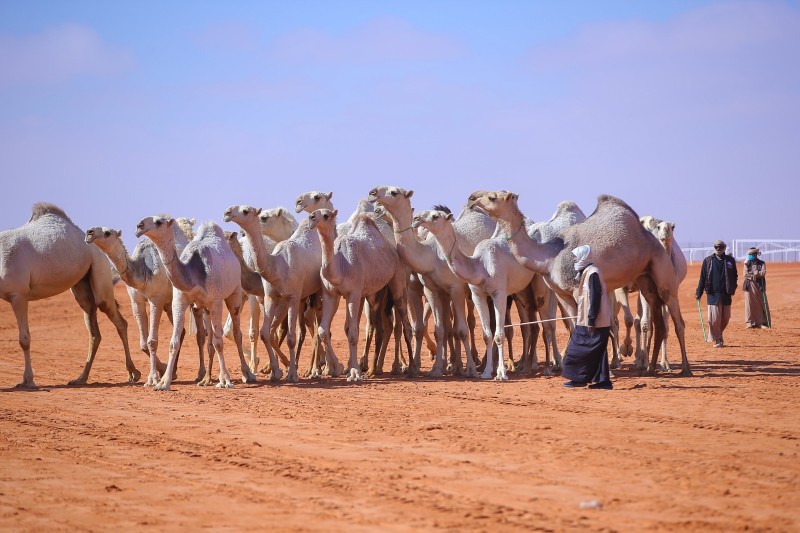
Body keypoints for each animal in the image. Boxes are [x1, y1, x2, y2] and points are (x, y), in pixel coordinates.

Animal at [134, 214, 253, 388]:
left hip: (235, 293)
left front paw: (225, 380)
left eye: (159, 222)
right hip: (202, 307)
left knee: (236, 333)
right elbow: (174, 342)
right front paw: (164, 382)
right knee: (208, 336)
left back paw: (247, 374)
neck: (195, 273)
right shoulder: (179, 302)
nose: (139, 226)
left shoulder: (216, 301)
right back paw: (206, 378)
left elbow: (219, 342)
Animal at [222, 205, 334, 382]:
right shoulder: (269, 298)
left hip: (317, 292)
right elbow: (266, 333)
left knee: (319, 326)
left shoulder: (291, 298)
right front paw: (275, 370)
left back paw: (324, 368)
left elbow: (288, 336)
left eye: (246, 211)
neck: (277, 266)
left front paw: (290, 372)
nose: (227, 213)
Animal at [308, 206, 412, 380]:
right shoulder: (331, 294)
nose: (311, 218)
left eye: (326, 215)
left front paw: (355, 372)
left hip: (398, 277)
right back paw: (377, 368)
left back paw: (412, 367)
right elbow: (324, 331)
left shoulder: (353, 294)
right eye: (313, 212)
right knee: (382, 326)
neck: (340, 266)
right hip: (373, 293)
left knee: (403, 320)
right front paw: (338, 368)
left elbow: (352, 333)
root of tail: (392, 248)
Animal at [412, 208, 536, 378]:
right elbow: (487, 334)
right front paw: (486, 372)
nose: (416, 218)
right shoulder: (478, 294)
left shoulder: (499, 293)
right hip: (521, 291)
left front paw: (501, 373)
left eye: (435, 216)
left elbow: (499, 334)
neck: (480, 265)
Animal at [472, 191, 692, 374]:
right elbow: (574, 325)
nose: (473, 199)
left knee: (677, 321)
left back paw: (684, 369)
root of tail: (650, 238)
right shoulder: (563, 293)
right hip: (645, 279)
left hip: (663, 272)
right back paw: (650, 368)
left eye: (492, 197)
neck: (550, 256)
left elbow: (586, 325)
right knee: (658, 321)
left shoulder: (579, 289)